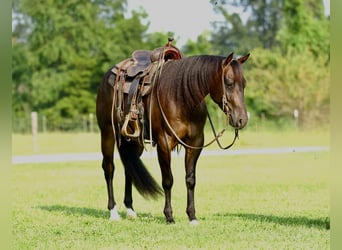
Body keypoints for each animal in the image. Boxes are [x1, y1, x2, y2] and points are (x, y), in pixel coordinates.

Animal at [95, 51, 250, 225]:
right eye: (229, 82)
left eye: (244, 84)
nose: (242, 119)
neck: (181, 97)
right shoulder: (164, 143)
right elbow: (168, 180)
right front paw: (169, 216)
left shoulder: (195, 142)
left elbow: (190, 179)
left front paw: (192, 217)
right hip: (107, 133)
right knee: (109, 169)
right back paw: (113, 212)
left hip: (134, 141)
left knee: (129, 168)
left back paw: (130, 210)